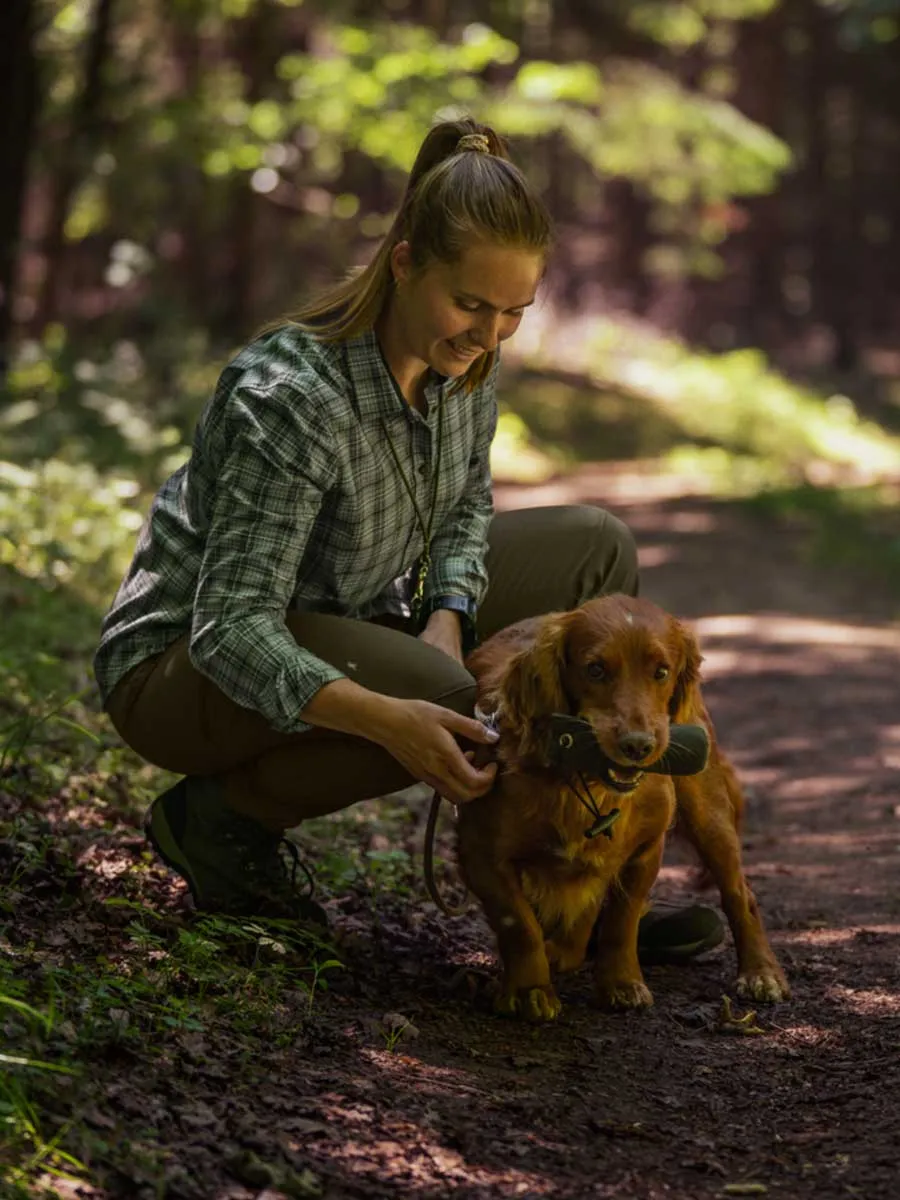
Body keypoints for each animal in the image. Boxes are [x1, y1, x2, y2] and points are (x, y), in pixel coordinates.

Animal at [458, 592, 787, 1022]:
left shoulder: (645, 850)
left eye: (661, 672)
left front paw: (622, 983)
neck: (587, 784)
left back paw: (760, 973)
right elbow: (520, 924)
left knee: (739, 892)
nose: (638, 746)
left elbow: (621, 920)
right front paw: (531, 990)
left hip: (708, 815)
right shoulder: (480, 854)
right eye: (595, 670)